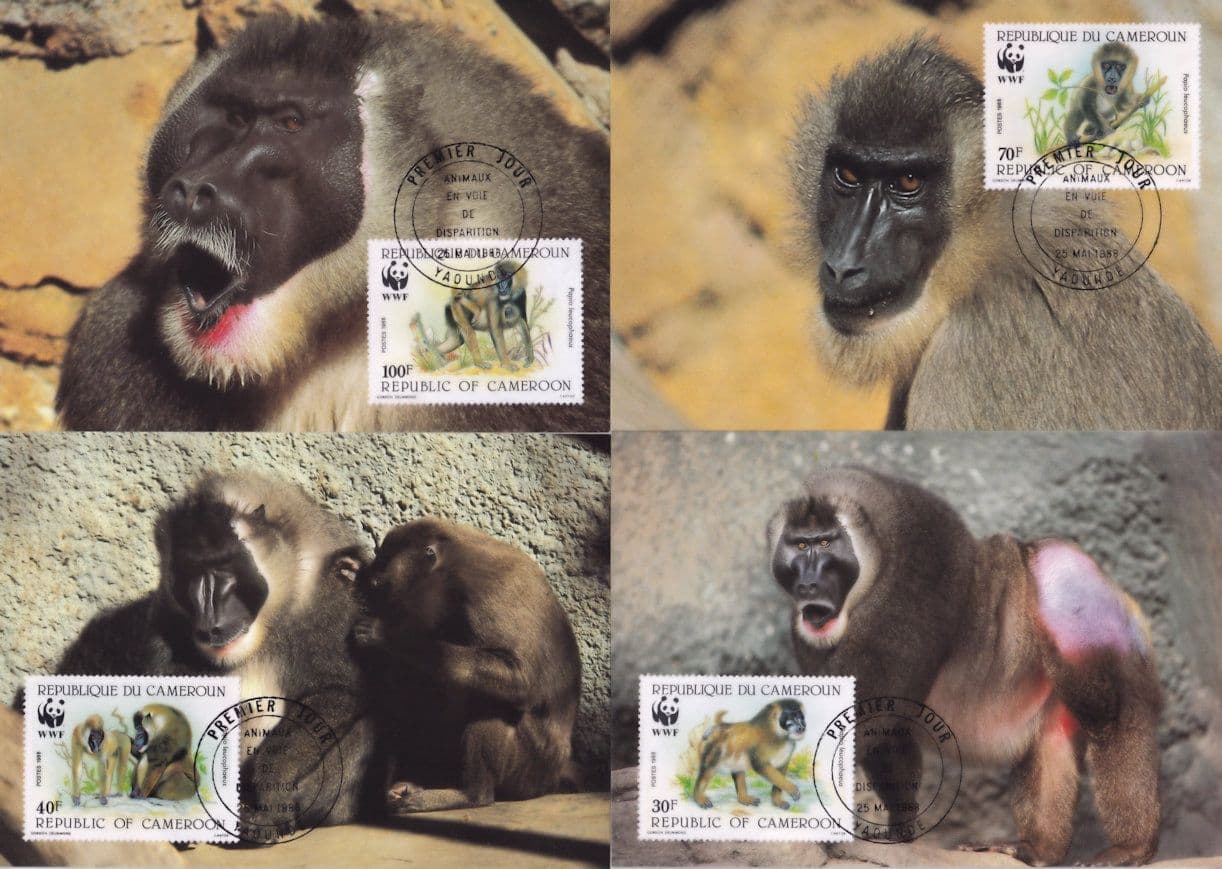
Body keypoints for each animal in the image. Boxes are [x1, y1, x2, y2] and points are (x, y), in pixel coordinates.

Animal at [53, 472, 378, 837]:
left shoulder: (328, 598)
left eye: (226, 571)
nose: (210, 623)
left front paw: (272, 789)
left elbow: (339, 689)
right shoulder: (163, 617)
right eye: (191, 577)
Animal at [353, 517, 581, 815]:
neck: (454, 563)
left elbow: (521, 681)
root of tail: (557, 768)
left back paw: (472, 794)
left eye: (382, 565)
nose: (369, 573)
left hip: (531, 766)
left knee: (492, 702)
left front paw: (387, 635)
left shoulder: (485, 593)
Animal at [767, 466, 1163, 866]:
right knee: (1047, 744)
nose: (809, 582)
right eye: (799, 545)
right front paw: (898, 830)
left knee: (1111, 719)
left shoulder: (914, 578)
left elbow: (869, 719)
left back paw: (1131, 847)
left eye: (826, 543)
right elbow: (890, 733)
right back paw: (1038, 849)